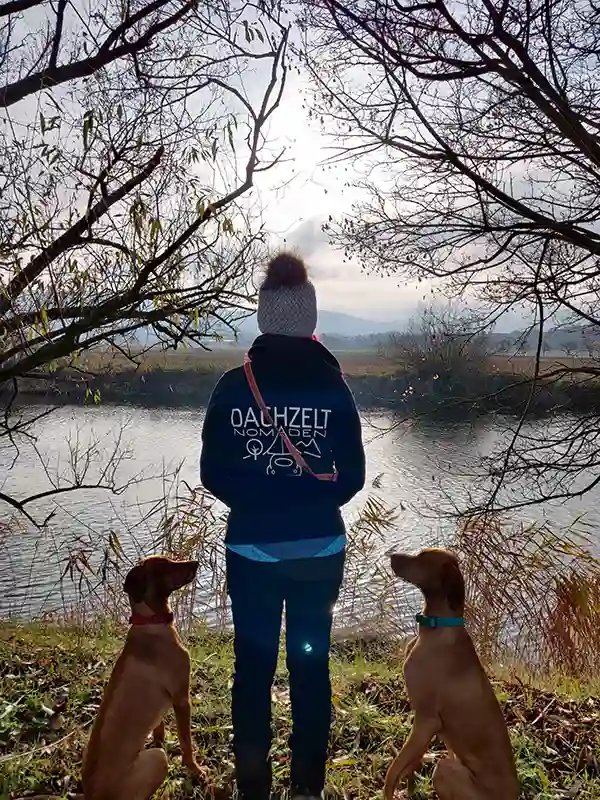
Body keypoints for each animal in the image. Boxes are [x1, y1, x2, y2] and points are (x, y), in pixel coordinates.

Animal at [384, 552, 520, 800]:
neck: (436, 628)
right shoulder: (426, 726)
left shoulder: (426, 719)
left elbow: (394, 770)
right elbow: (410, 765)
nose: (391, 555)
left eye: (422, 558)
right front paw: (410, 789)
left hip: (445, 770)